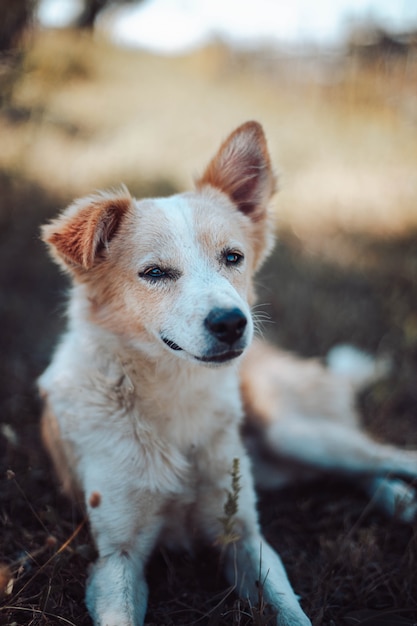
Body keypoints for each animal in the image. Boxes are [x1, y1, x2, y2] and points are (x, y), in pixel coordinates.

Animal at [38, 122, 416, 624]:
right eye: (154, 272)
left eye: (232, 258)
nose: (232, 323)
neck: (175, 394)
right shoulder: (115, 558)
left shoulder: (244, 535)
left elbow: (291, 611)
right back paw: (399, 499)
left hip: (295, 432)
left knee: (387, 455)